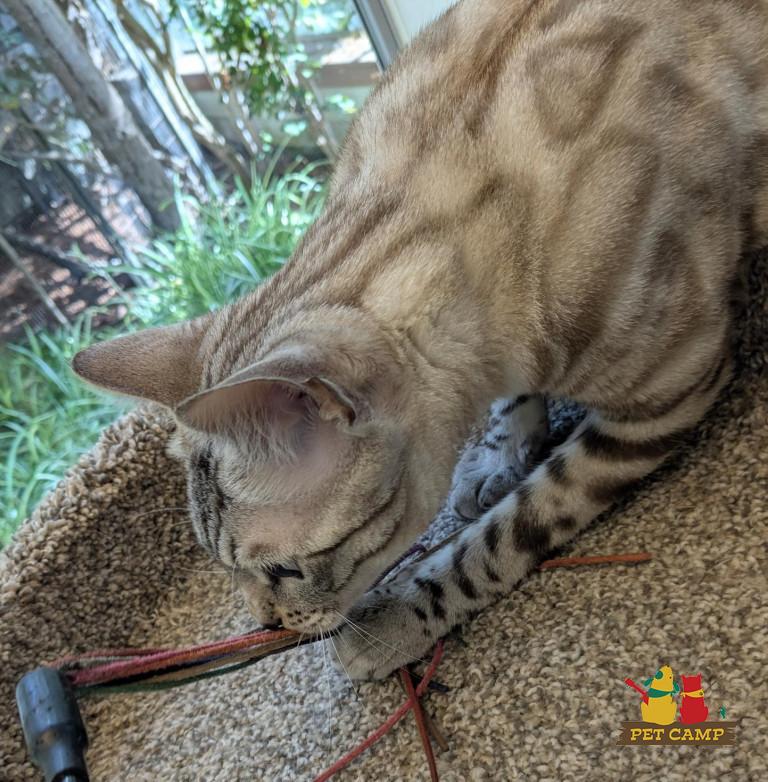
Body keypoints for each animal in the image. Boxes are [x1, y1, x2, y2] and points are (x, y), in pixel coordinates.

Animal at [73, 0, 768, 680]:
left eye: (284, 571)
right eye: (225, 569)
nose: (267, 624)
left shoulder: (661, 402)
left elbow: (503, 535)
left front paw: (400, 613)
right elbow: (510, 405)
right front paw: (498, 456)